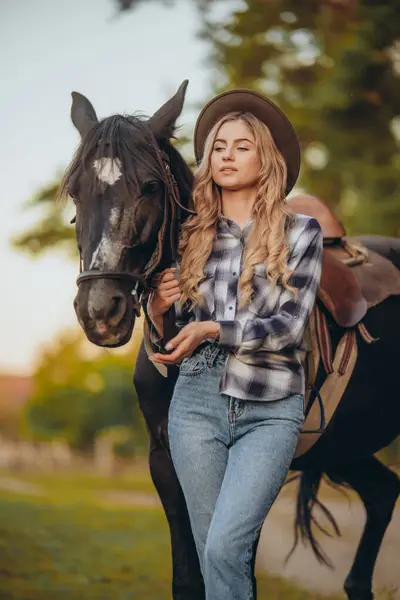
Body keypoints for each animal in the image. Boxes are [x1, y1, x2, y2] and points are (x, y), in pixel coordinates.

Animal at [60, 81, 400, 600]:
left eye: (151, 186)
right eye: (76, 191)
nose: (100, 311)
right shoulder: (166, 460)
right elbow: (187, 577)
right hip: (349, 444)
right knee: (383, 496)